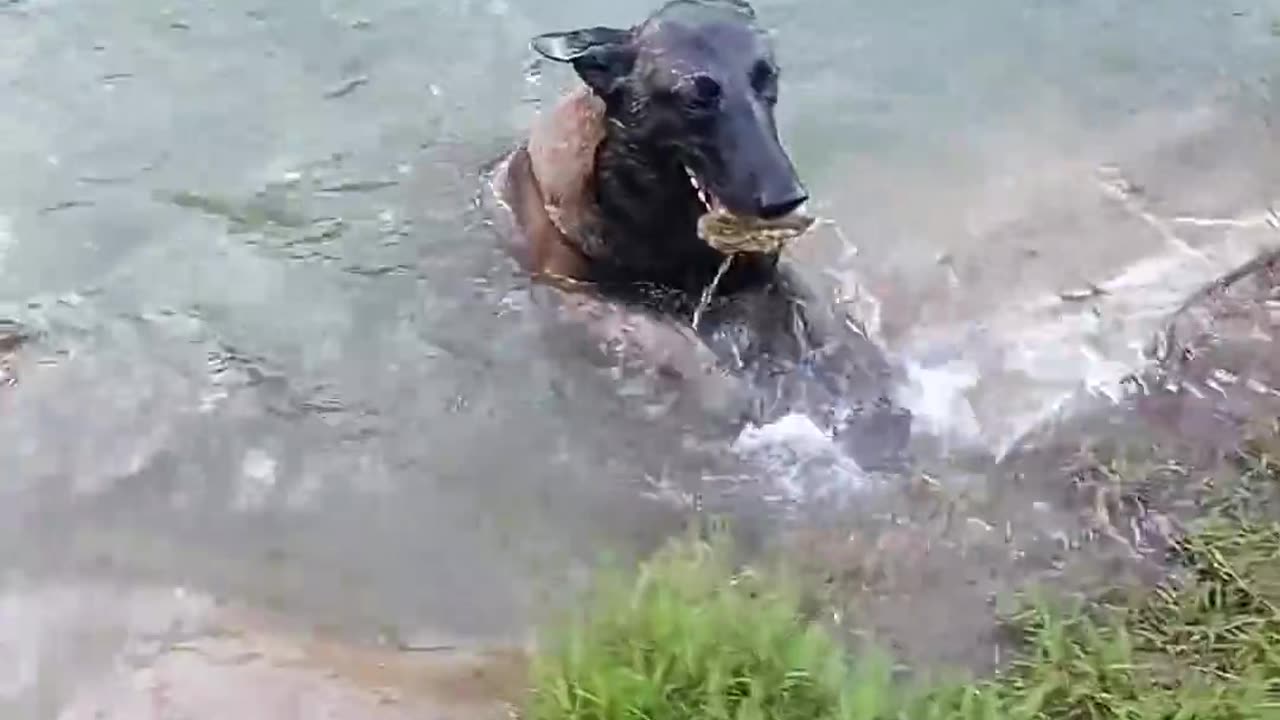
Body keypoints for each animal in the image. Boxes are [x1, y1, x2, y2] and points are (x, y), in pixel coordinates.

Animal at [491, 0, 911, 468]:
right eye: (697, 98)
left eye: (767, 78)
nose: (787, 199)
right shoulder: (573, 293)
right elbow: (677, 348)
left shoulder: (765, 285)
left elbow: (830, 328)